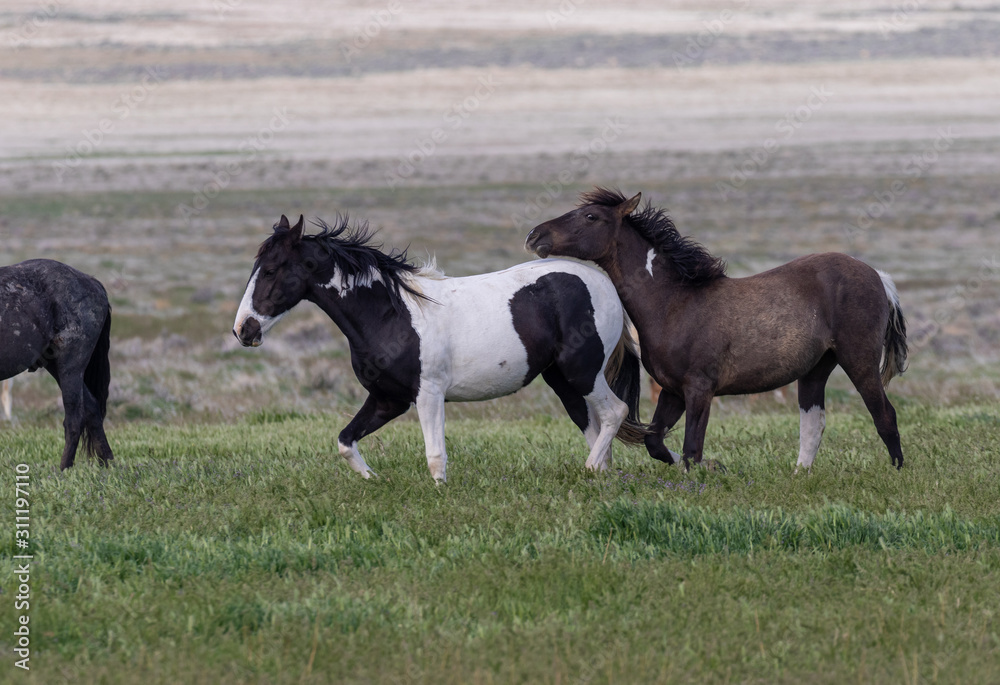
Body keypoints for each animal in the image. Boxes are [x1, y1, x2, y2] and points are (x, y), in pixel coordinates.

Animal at [0, 259, 115, 469]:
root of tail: (92, 282)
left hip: (70, 368)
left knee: (74, 418)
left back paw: (64, 469)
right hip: (57, 367)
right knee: (92, 409)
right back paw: (107, 464)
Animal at [233, 214, 647, 482]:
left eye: (271, 270)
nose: (243, 330)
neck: (392, 314)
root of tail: (603, 282)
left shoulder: (428, 394)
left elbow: (435, 456)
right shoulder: (387, 399)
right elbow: (345, 441)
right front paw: (372, 478)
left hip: (583, 371)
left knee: (615, 412)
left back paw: (590, 470)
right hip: (563, 380)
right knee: (593, 426)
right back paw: (597, 476)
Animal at [526, 188, 908, 472]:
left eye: (591, 217)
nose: (534, 236)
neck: (674, 304)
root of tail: (877, 276)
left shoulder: (700, 390)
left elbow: (691, 448)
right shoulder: (672, 391)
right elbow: (656, 442)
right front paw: (706, 466)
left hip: (858, 360)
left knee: (884, 415)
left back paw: (897, 471)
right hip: (815, 370)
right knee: (813, 425)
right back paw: (800, 475)